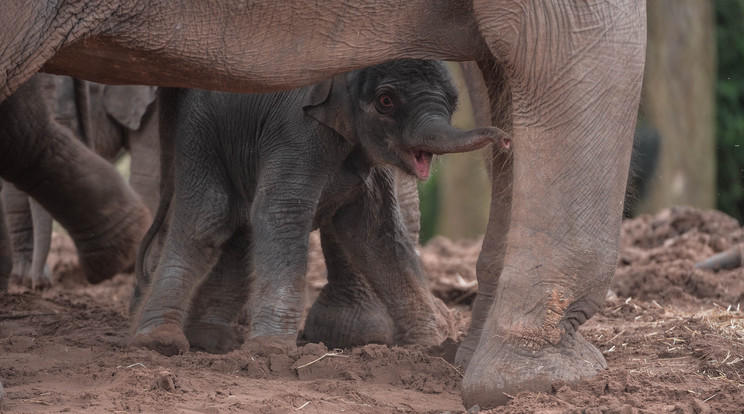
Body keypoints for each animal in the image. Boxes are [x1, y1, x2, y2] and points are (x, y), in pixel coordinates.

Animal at [0, 0, 644, 408]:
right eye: (385, 100)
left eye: (451, 99)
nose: (503, 139)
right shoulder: (298, 134)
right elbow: (282, 213)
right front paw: (547, 380)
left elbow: (374, 229)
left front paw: (438, 347)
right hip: (203, 139)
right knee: (212, 220)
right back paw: (163, 341)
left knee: (234, 229)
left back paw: (211, 339)